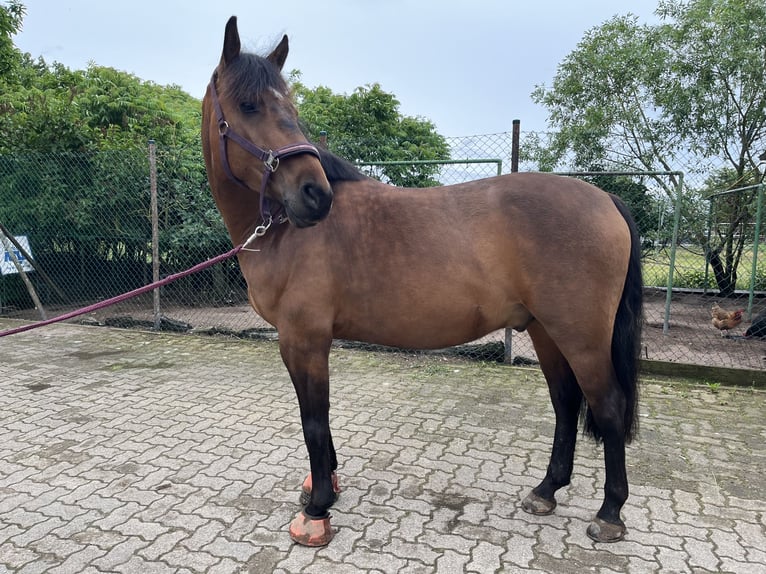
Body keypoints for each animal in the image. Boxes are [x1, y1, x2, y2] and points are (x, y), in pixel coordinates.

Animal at [201, 16, 644, 548]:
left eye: (290, 107)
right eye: (249, 104)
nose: (315, 194)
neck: (284, 232)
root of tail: (606, 200)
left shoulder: (303, 341)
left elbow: (313, 421)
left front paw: (317, 509)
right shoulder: (307, 342)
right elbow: (320, 422)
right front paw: (326, 484)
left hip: (581, 336)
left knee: (609, 406)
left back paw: (610, 513)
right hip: (545, 329)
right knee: (565, 401)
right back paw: (546, 490)